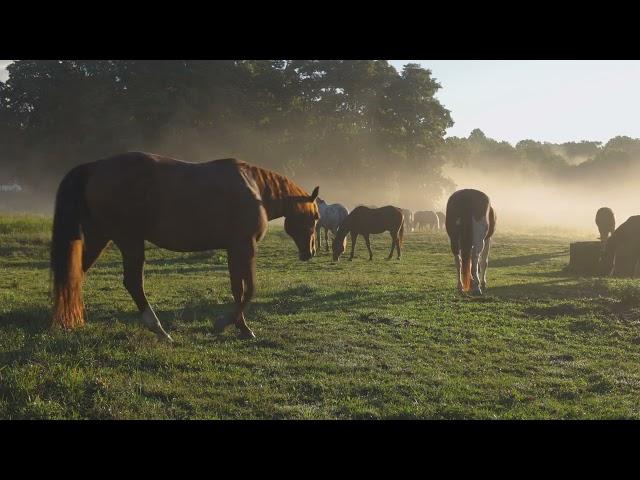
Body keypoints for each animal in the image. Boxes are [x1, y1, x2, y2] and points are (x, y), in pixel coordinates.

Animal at [50, 152, 320, 340]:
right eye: (316, 217)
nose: (310, 252)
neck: (256, 190)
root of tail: (96, 167)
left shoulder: (233, 249)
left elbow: (238, 289)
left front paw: (242, 328)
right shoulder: (246, 247)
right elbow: (250, 289)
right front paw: (224, 323)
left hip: (100, 238)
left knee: (74, 275)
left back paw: (67, 319)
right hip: (129, 241)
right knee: (133, 283)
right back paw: (159, 330)